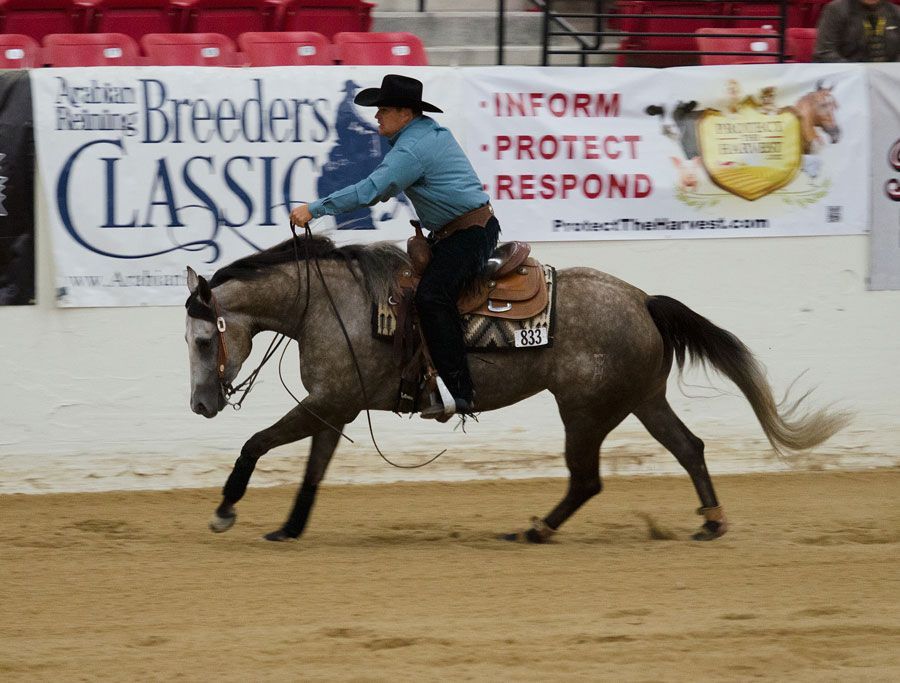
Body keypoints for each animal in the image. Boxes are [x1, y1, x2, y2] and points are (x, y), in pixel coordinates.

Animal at [185, 233, 848, 543]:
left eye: (201, 341)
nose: (200, 405)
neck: (331, 304)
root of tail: (642, 300)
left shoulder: (327, 403)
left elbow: (256, 442)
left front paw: (224, 511)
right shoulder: (335, 408)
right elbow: (312, 472)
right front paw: (289, 529)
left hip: (584, 411)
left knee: (587, 479)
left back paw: (535, 530)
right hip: (641, 400)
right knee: (689, 449)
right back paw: (710, 523)